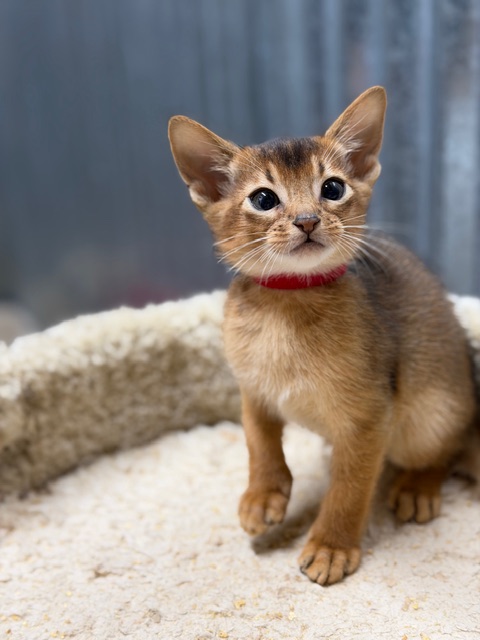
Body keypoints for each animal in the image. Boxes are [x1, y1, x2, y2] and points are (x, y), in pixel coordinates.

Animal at [168, 87, 477, 585]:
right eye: (263, 198)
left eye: (332, 188)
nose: (308, 220)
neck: (288, 308)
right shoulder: (253, 390)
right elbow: (258, 442)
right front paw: (263, 496)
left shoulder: (369, 418)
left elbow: (349, 487)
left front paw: (331, 545)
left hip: (430, 415)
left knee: (445, 452)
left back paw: (417, 488)